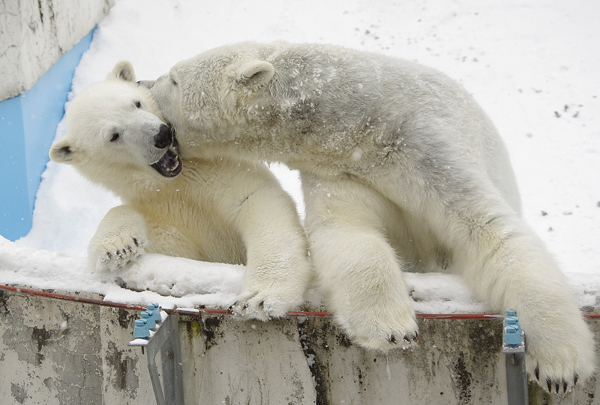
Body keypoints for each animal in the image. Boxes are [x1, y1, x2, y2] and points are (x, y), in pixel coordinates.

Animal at [49, 60, 312, 318]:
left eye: (136, 103)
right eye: (114, 136)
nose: (161, 135)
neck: (179, 181)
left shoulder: (227, 172)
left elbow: (255, 202)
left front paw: (260, 297)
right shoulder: (167, 211)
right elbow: (165, 242)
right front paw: (117, 248)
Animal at [141, 41, 596, 392]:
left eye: (175, 78)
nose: (143, 82)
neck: (365, 118)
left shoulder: (425, 146)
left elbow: (488, 229)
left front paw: (560, 366)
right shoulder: (342, 169)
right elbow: (347, 231)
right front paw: (391, 328)